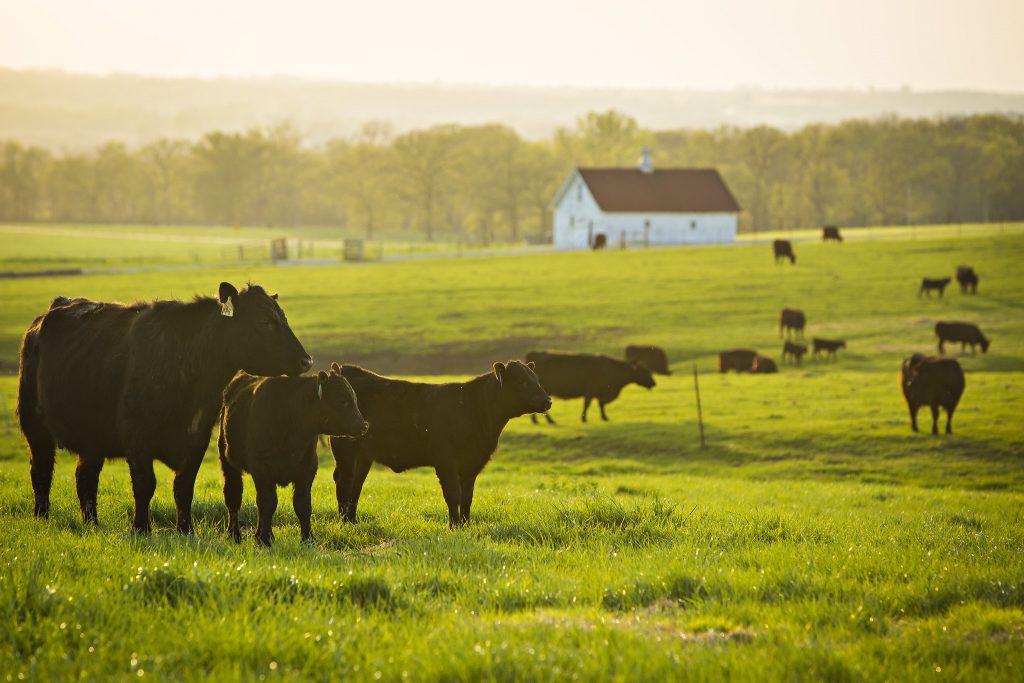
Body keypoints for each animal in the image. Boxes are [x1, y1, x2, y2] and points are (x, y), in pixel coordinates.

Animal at [14, 282, 311, 532]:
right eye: (265, 322)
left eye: (282, 318)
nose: (306, 360)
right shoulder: (137, 437)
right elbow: (145, 485)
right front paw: (141, 529)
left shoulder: (197, 437)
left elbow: (184, 487)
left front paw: (186, 530)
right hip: (34, 425)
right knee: (41, 470)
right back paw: (42, 518)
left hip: (92, 438)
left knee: (85, 477)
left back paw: (92, 524)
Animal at [220, 368, 368, 544]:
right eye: (342, 401)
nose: (364, 425)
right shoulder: (261, 468)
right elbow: (268, 503)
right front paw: (266, 539)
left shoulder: (308, 468)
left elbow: (302, 504)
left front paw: (307, 538)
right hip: (228, 463)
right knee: (233, 497)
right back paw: (233, 534)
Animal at [329, 360, 552, 528]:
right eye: (521, 381)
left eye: (536, 379)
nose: (547, 401)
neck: (472, 408)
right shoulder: (446, 461)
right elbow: (453, 495)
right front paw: (454, 526)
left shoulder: (472, 464)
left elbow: (467, 498)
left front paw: (465, 526)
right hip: (345, 452)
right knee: (344, 483)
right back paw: (344, 523)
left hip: (363, 456)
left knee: (356, 485)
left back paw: (352, 521)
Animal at [524, 350, 659, 423]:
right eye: (645, 371)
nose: (654, 383)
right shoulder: (592, 391)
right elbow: (588, 404)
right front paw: (584, 419)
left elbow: (600, 404)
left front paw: (604, 417)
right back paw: (549, 421)